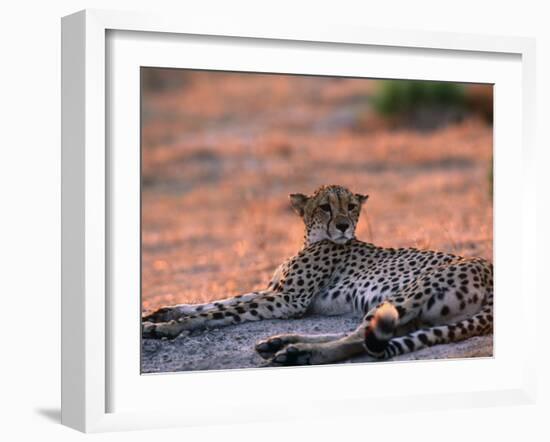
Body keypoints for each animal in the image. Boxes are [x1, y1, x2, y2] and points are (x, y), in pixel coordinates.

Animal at [142, 184, 496, 366]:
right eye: (325, 206)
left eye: (351, 206)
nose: (342, 225)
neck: (314, 239)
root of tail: (488, 266)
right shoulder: (275, 291)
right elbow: (221, 301)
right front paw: (162, 313)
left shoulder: (288, 300)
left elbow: (221, 312)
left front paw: (167, 327)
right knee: (367, 333)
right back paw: (281, 343)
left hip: (406, 294)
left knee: (362, 338)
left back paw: (299, 352)